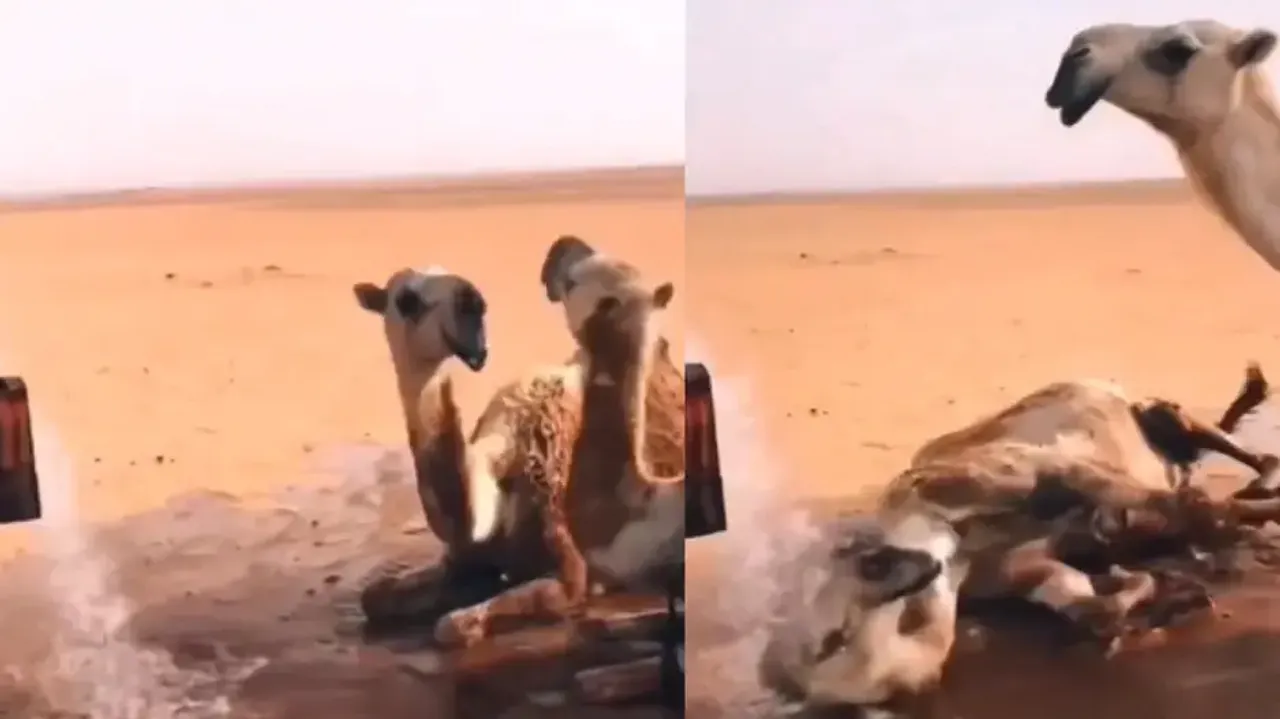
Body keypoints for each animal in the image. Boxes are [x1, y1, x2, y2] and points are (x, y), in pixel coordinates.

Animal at [354, 240, 683, 649]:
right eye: (406, 299)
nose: (472, 301)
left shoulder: (568, 563)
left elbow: (452, 625)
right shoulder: (460, 558)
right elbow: (373, 597)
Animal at [760, 365, 1280, 711]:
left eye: (872, 566)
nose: (922, 570)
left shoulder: (1054, 468)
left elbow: (1203, 512)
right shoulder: (1026, 568)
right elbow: (1095, 607)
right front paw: (1165, 593)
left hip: (1155, 414)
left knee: (1223, 449)